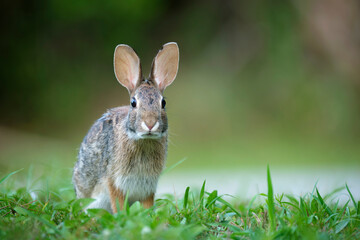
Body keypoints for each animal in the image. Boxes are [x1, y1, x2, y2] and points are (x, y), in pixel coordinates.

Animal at [72, 42, 179, 213]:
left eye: (163, 103)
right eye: (133, 103)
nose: (150, 123)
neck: (142, 140)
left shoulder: (148, 188)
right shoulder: (114, 182)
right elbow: (119, 204)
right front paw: (122, 216)